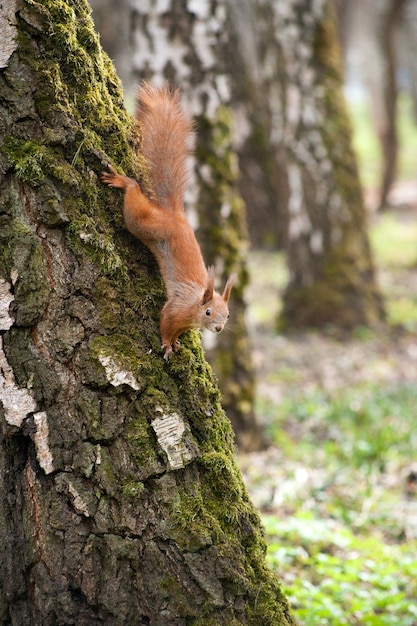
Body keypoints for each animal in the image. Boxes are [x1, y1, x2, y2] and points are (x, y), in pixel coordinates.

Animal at [101, 81, 236, 360]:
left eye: (228, 315)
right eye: (208, 312)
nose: (218, 328)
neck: (194, 308)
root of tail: (174, 215)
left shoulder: (184, 323)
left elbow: (177, 333)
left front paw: (175, 344)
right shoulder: (176, 309)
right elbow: (165, 323)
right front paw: (165, 344)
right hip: (144, 224)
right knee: (133, 194)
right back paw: (123, 181)